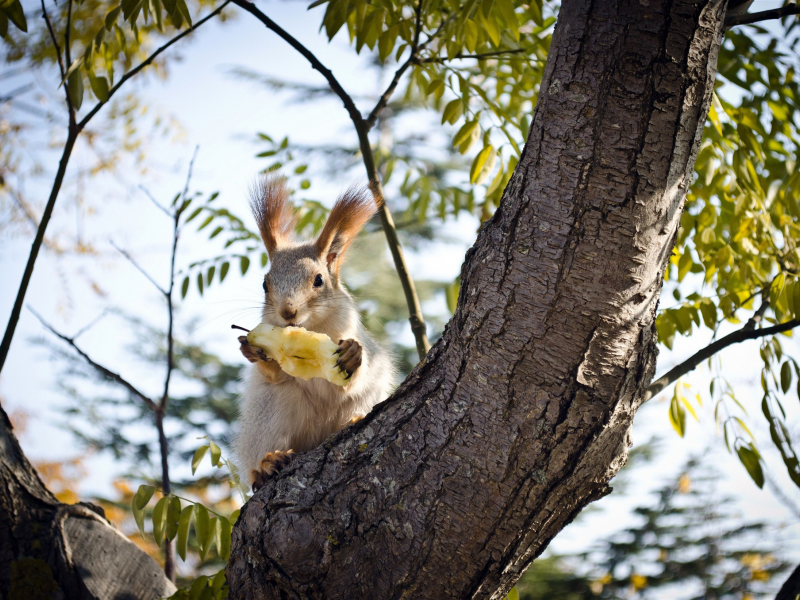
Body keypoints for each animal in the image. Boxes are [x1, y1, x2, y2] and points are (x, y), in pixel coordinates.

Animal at [233, 176, 396, 490]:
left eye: (319, 280)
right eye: (265, 284)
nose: (288, 312)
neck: (311, 328)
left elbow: (349, 379)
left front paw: (352, 355)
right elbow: (274, 374)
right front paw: (251, 350)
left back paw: (352, 420)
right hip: (271, 411)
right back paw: (267, 464)